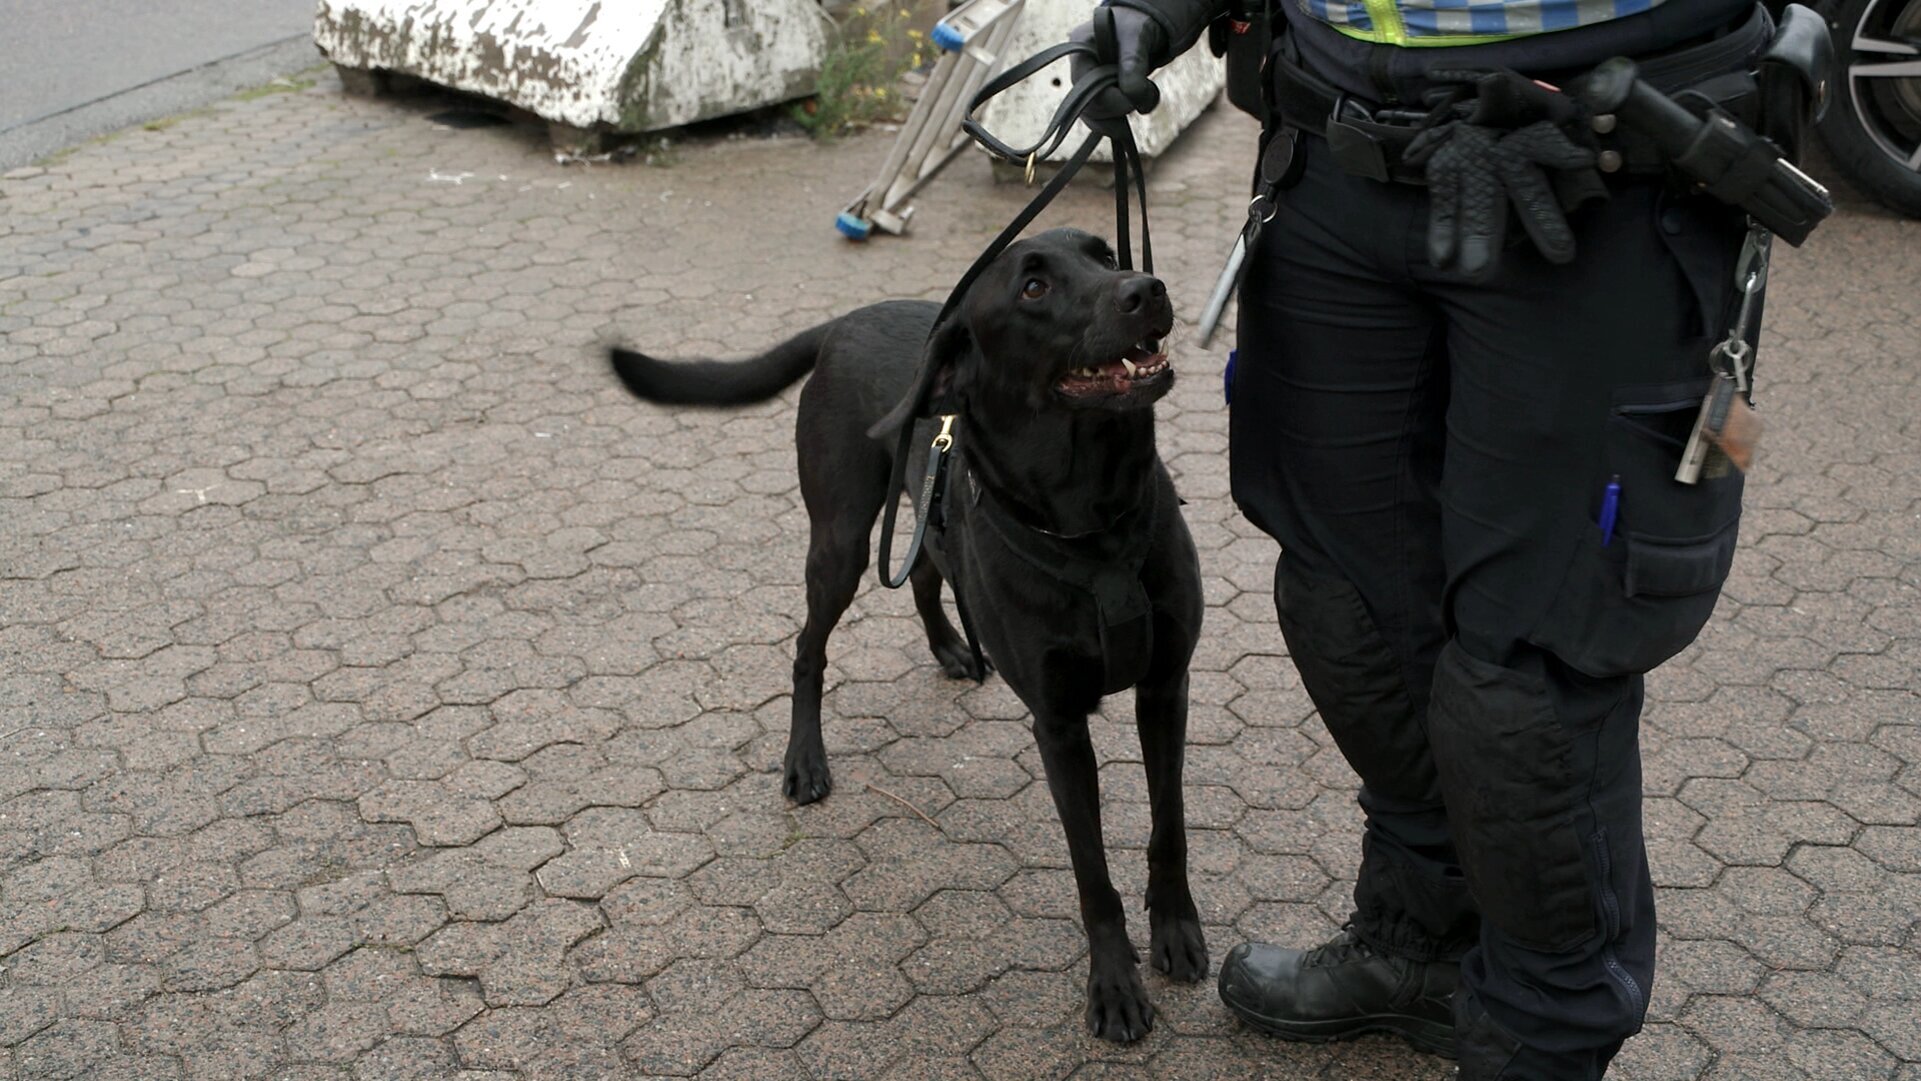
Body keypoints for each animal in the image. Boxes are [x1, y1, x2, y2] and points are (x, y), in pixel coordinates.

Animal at [607, 226, 1206, 1036]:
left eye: (1105, 255)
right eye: (1033, 287)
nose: (1147, 287)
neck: (1094, 525)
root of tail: (845, 319)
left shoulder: (1165, 687)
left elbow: (1168, 827)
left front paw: (1175, 929)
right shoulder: (1057, 725)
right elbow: (1091, 872)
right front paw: (1113, 984)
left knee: (926, 566)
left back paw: (950, 646)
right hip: (839, 539)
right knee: (808, 647)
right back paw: (804, 760)